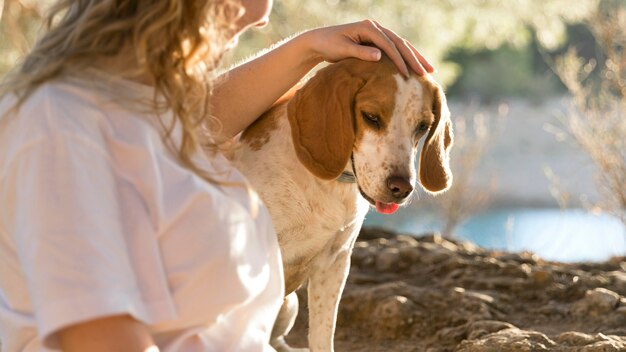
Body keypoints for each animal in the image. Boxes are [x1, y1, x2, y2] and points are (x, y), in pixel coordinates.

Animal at [232, 55, 450, 352]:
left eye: (423, 126)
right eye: (371, 117)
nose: (401, 188)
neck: (329, 185)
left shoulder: (334, 262)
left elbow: (323, 335)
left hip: (290, 304)